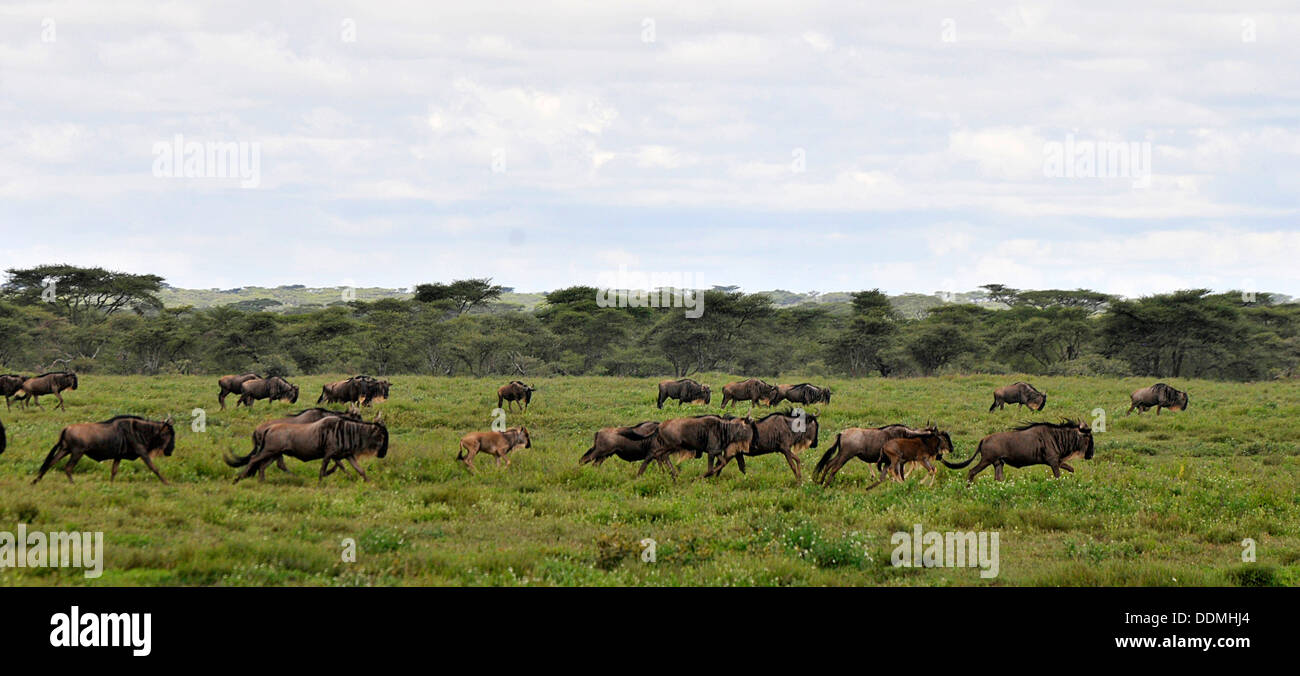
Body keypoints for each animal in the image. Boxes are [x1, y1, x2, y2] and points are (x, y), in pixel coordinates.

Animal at [33, 413, 176, 483]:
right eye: (167, 434)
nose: (170, 451)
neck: (138, 430)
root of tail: (66, 428)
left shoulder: (118, 456)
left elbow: (114, 471)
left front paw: (111, 484)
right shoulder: (142, 452)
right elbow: (154, 468)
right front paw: (166, 483)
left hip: (64, 450)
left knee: (50, 463)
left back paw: (35, 481)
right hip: (77, 452)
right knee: (67, 468)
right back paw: (72, 484)